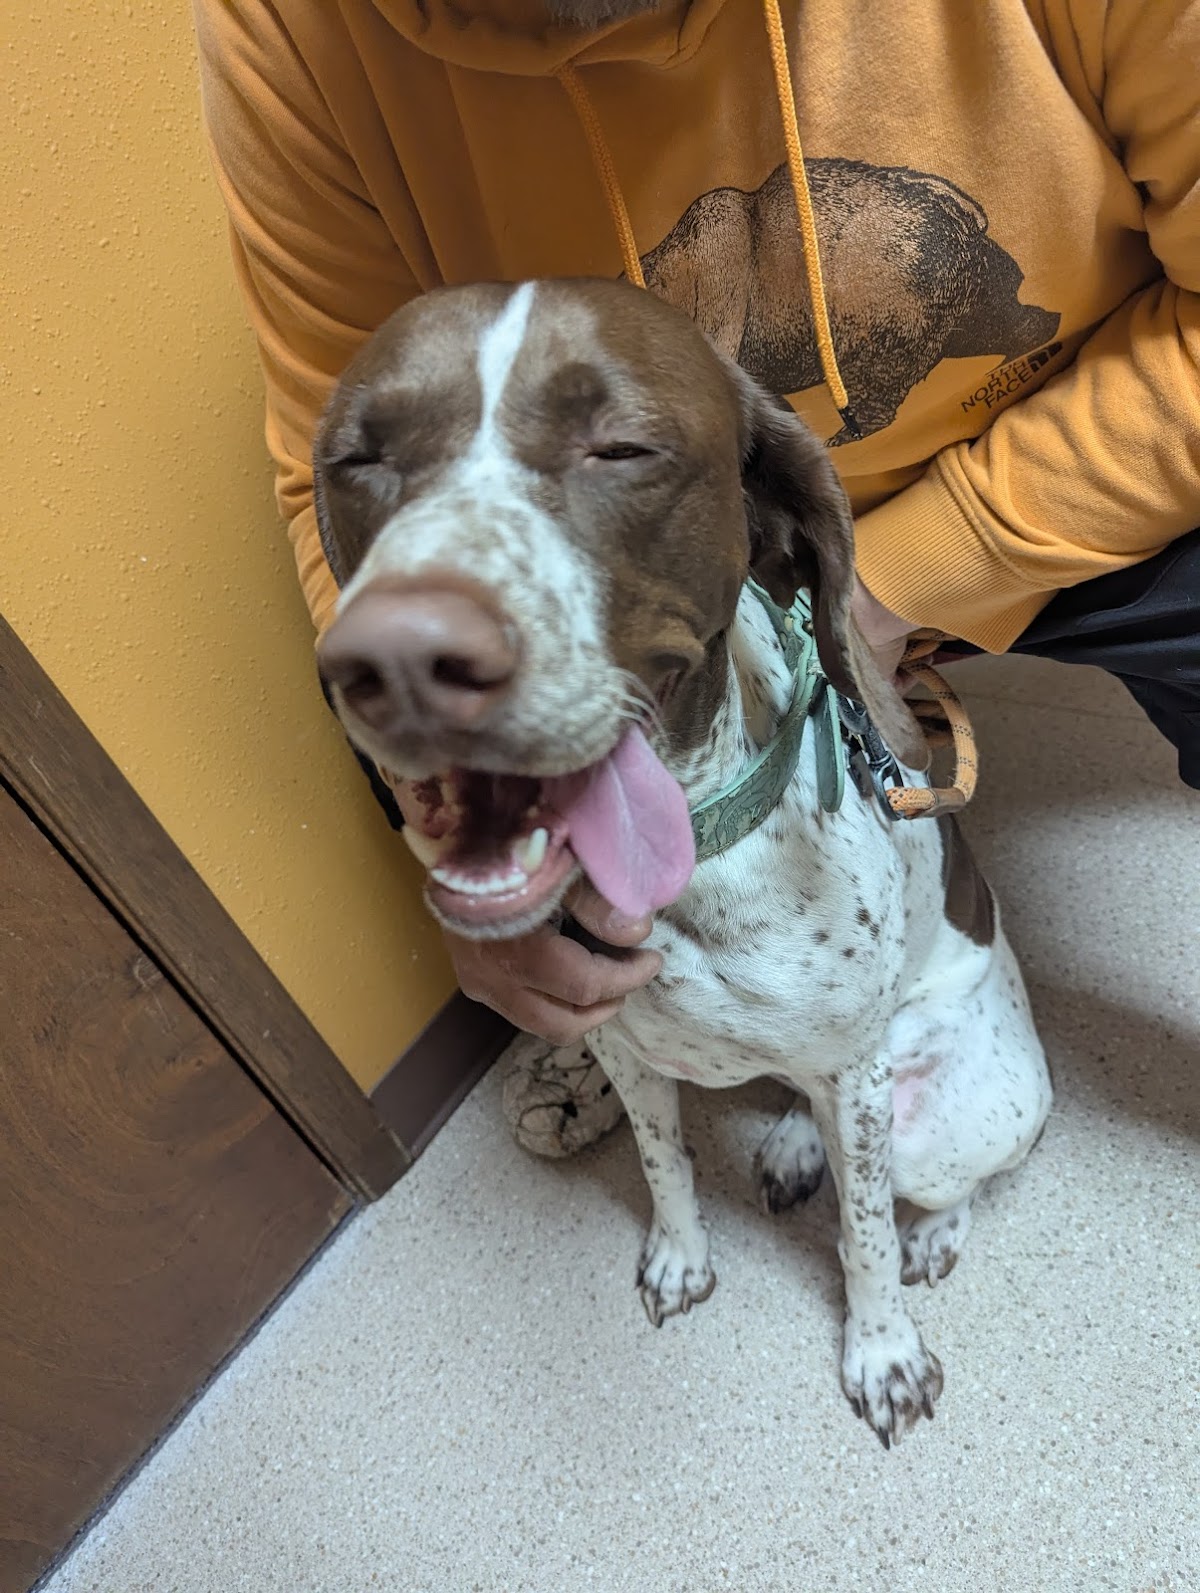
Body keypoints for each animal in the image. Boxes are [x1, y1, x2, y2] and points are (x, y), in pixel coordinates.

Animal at [314, 278, 1053, 1447]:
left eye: (622, 447)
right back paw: (796, 1144)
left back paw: (931, 1229)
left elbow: (865, 1239)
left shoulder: (853, 1080)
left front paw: (881, 1350)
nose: (391, 660)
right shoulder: (622, 1047)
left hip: (941, 1115)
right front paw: (680, 1256)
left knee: (949, 1185)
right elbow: (663, 1164)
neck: (690, 875)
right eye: (357, 457)